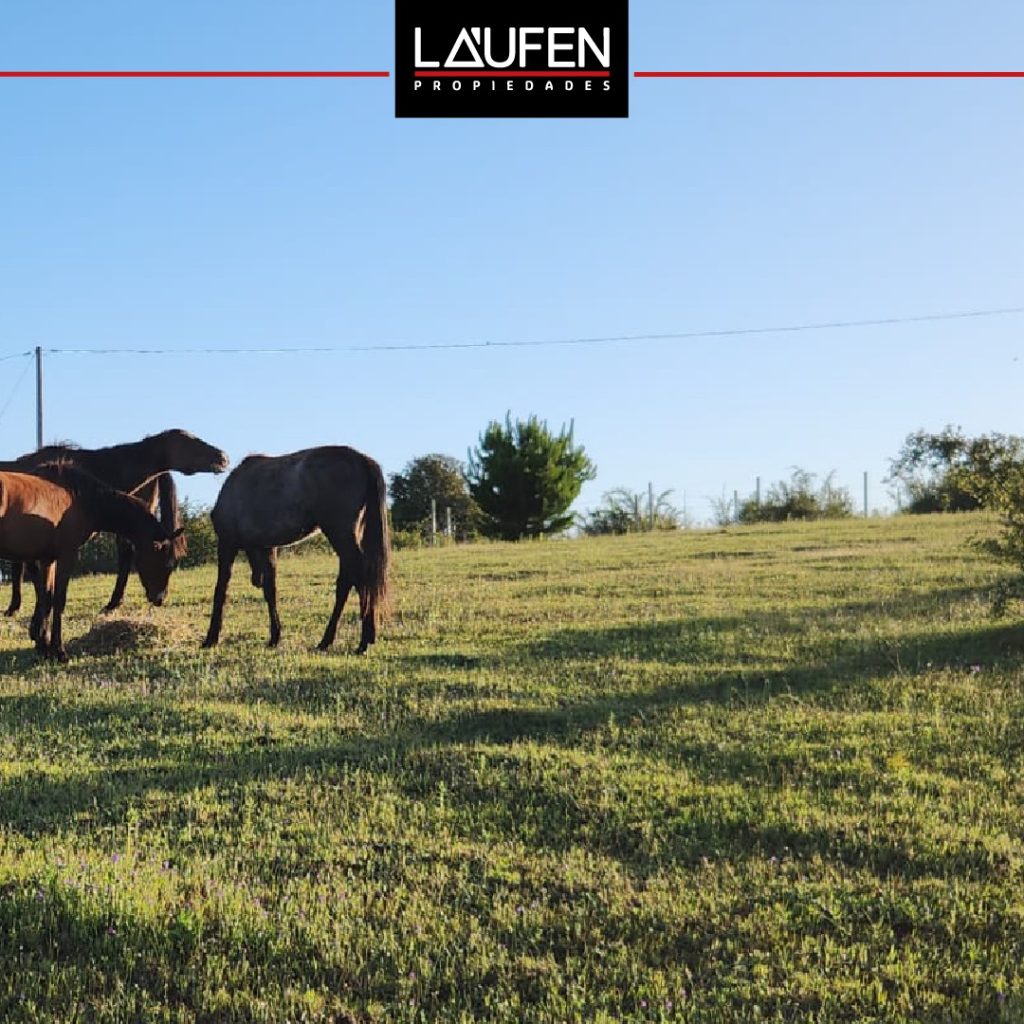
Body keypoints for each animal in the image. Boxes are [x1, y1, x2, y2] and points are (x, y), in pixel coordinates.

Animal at [0, 463, 183, 660]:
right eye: (167, 564)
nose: (160, 598)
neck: (78, 497)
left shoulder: (48, 559)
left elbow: (46, 600)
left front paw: (44, 647)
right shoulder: (66, 555)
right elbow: (58, 600)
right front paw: (59, 650)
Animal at [201, 446, 390, 654]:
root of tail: (362, 460)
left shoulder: (227, 543)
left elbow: (221, 589)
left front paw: (211, 638)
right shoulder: (267, 548)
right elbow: (270, 591)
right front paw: (274, 637)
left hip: (340, 534)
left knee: (358, 578)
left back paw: (359, 641)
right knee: (349, 580)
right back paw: (338, 640)